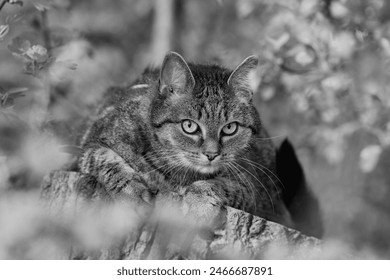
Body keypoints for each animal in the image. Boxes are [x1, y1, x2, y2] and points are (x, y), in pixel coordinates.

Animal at [77, 52, 292, 226]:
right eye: (189, 126)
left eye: (230, 128)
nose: (211, 154)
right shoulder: (92, 144)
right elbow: (107, 161)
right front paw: (132, 192)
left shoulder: (253, 188)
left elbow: (218, 184)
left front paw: (200, 202)